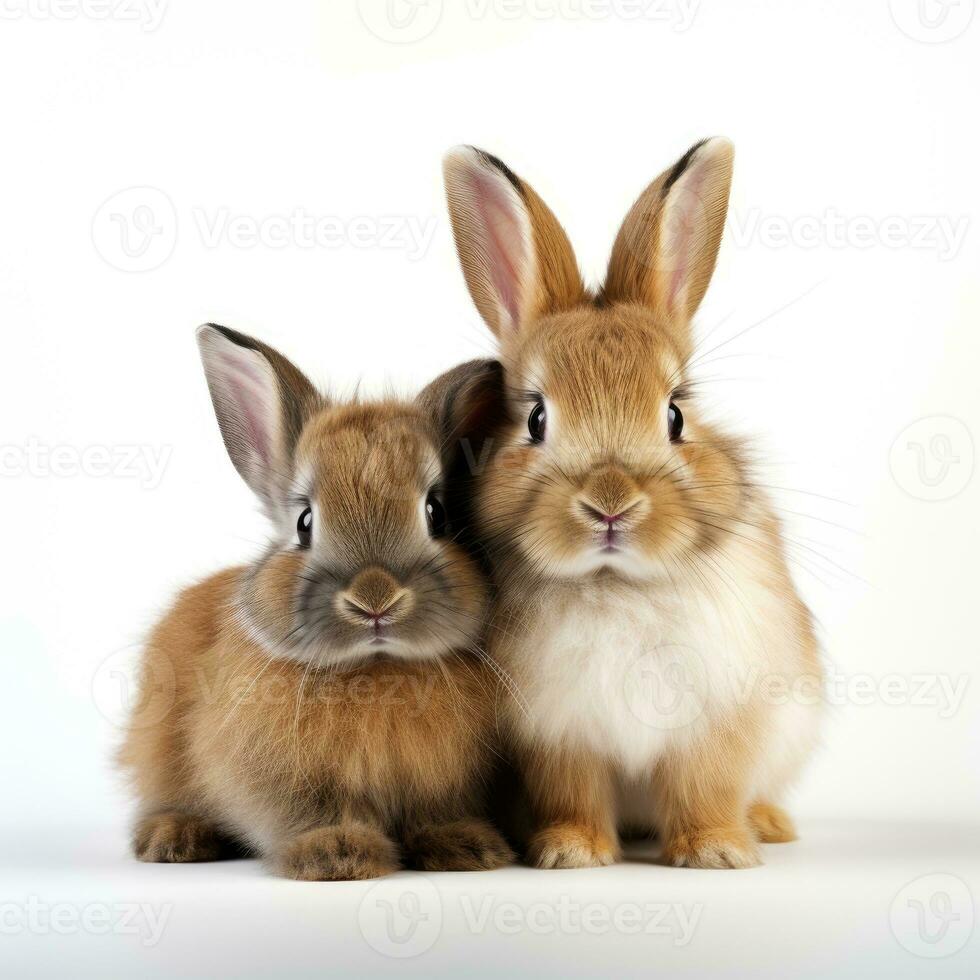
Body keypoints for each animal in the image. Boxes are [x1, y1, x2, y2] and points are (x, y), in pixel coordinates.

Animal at [118, 324, 512, 880]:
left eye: (436, 513)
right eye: (305, 522)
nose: (375, 600)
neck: (376, 668)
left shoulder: (445, 780)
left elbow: (436, 812)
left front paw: (467, 849)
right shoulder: (285, 779)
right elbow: (315, 812)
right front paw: (337, 855)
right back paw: (174, 838)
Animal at [440, 140, 824, 872]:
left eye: (676, 414)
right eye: (535, 419)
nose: (611, 505)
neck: (616, 586)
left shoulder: (718, 719)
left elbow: (706, 787)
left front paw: (717, 853)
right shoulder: (559, 737)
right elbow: (574, 795)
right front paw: (570, 853)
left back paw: (769, 823)